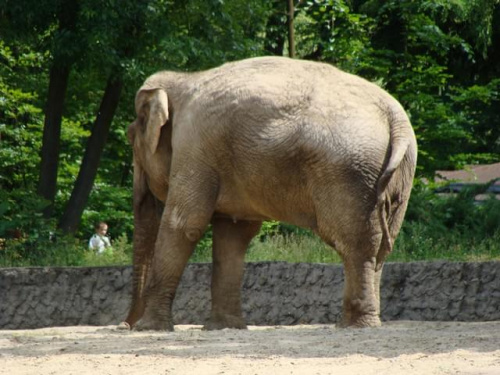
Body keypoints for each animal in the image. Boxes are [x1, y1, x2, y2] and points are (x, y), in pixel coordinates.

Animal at [121, 55, 418, 332]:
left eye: (130, 139)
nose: (125, 325)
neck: (182, 80)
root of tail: (396, 119)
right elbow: (233, 236)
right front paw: (225, 327)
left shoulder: (193, 146)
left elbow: (184, 224)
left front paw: (150, 328)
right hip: (398, 177)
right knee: (381, 247)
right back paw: (364, 321)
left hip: (351, 174)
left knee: (354, 244)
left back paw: (353, 325)